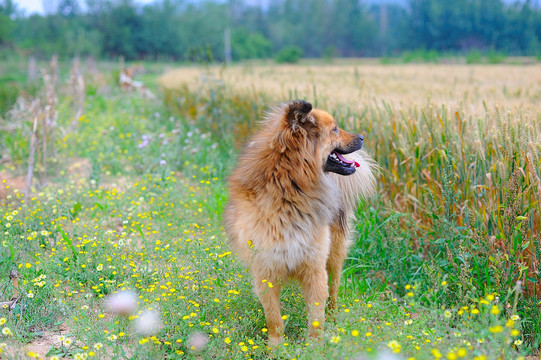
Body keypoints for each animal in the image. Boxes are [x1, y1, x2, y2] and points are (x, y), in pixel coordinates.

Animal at [224, 100, 376, 344]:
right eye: (334, 129)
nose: (362, 137)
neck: (290, 190)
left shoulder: (314, 267)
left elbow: (316, 314)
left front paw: (314, 345)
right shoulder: (266, 271)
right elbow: (274, 319)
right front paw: (276, 346)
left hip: (334, 255)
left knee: (333, 293)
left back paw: (334, 320)